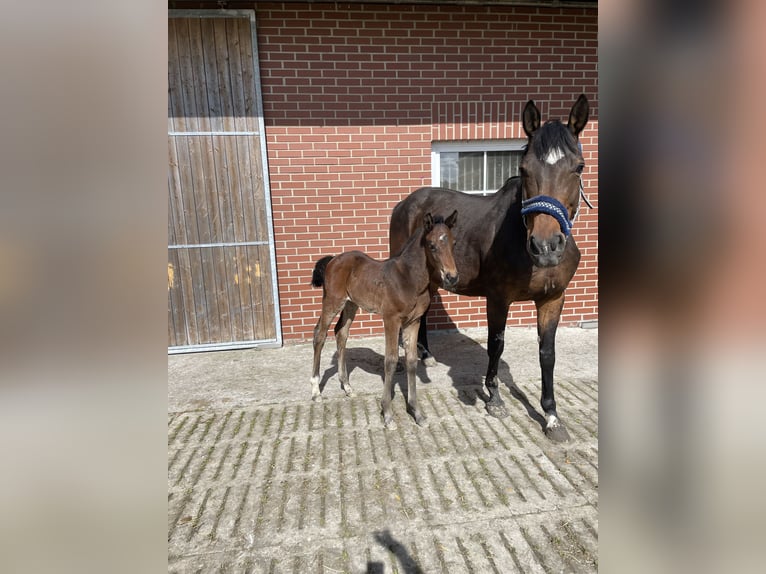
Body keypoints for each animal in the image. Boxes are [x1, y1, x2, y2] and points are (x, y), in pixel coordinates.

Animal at [310, 211, 459, 428]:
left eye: (454, 243)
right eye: (432, 245)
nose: (452, 277)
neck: (409, 279)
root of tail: (333, 259)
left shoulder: (413, 322)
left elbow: (411, 360)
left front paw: (417, 412)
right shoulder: (391, 320)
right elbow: (390, 360)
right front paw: (387, 413)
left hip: (351, 304)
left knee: (341, 334)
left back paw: (347, 387)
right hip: (332, 302)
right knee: (319, 335)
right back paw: (315, 391)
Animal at [389, 94, 590, 442]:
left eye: (578, 167)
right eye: (523, 168)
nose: (546, 247)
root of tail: (406, 203)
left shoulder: (553, 299)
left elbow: (547, 353)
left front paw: (551, 416)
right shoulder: (498, 298)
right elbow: (496, 344)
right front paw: (494, 398)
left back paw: (426, 354)